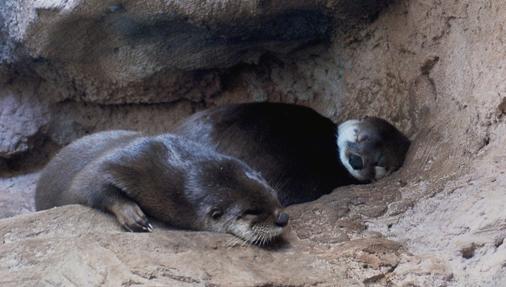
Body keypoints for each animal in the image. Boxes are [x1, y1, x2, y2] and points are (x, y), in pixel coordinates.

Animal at [34, 130, 288, 245]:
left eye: (273, 194)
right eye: (252, 211)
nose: (283, 218)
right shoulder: (130, 163)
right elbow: (89, 183)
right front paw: (133, 216)